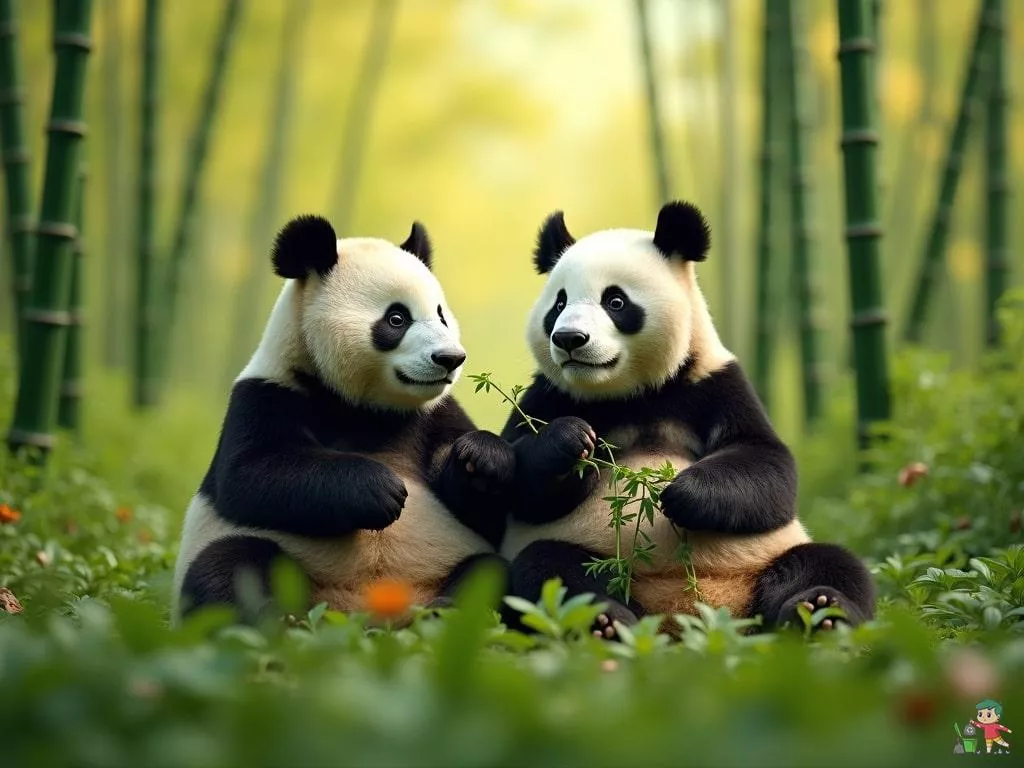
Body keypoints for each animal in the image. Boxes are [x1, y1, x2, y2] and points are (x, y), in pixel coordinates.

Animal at [172, 214, 515, 624]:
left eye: (441, 315)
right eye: (396, 318)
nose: (450, 359)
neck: (361, 408)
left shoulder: (435, 414)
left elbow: (486, 511)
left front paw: (482, 458)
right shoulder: (266, 395)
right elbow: (251, 472)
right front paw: (380, 489)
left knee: (490, 573)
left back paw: (444, 613)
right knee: (230, 566)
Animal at [499, 200, 875, 636]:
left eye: (615, 301)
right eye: (558, 304)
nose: (569, 339)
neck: (633, 394)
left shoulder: (714, 382)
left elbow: (768, 465)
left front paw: (680, 493)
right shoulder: (548, 395)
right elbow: (519, 485)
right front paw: (571, 442)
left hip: (767, 561)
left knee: (829, 562)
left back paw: (821, 611)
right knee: (549, 568)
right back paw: (607, 621)